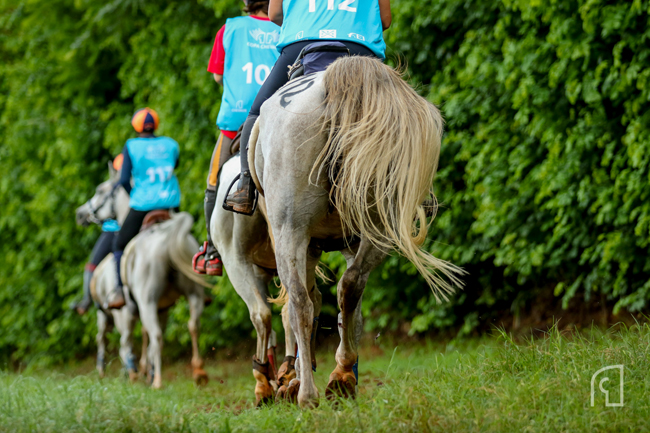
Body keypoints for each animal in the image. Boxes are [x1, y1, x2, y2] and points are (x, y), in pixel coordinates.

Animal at [76, 165, 212, 388]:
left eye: (100, 190)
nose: (80, 214)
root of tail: (166, 239)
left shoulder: (125, 313)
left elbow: (126, 342)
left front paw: (134, 371)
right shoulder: (162, 309)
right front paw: (144, 368)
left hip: (144, 303)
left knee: (138, 337)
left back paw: (155, 380)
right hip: (194, 295)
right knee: (193, 325)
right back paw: (198, 371)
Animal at [248, 56, 464, 407]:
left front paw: (293, 378)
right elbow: (352, 309)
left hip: (290, 230)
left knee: (301, 304)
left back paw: (308, 392)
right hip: (378, 227)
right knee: (349, 287)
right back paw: (341, 375)